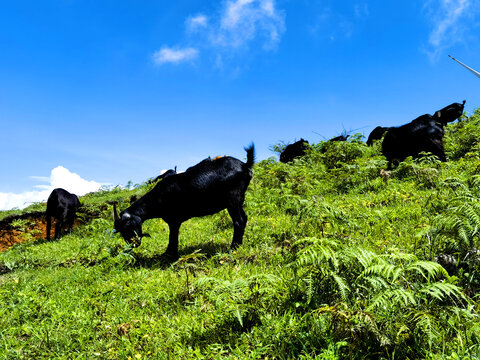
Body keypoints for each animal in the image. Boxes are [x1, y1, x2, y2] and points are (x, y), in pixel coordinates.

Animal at [113, 143, 255, 258]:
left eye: (127, 227)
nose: (133, 244)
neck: (157, 198)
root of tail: (245, 165)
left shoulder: (174, 219)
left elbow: (173, 237)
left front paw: (169, 255)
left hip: (233, 200)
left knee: (239, 221)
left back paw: (233, 248)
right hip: (238, 201)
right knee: (243, 218)